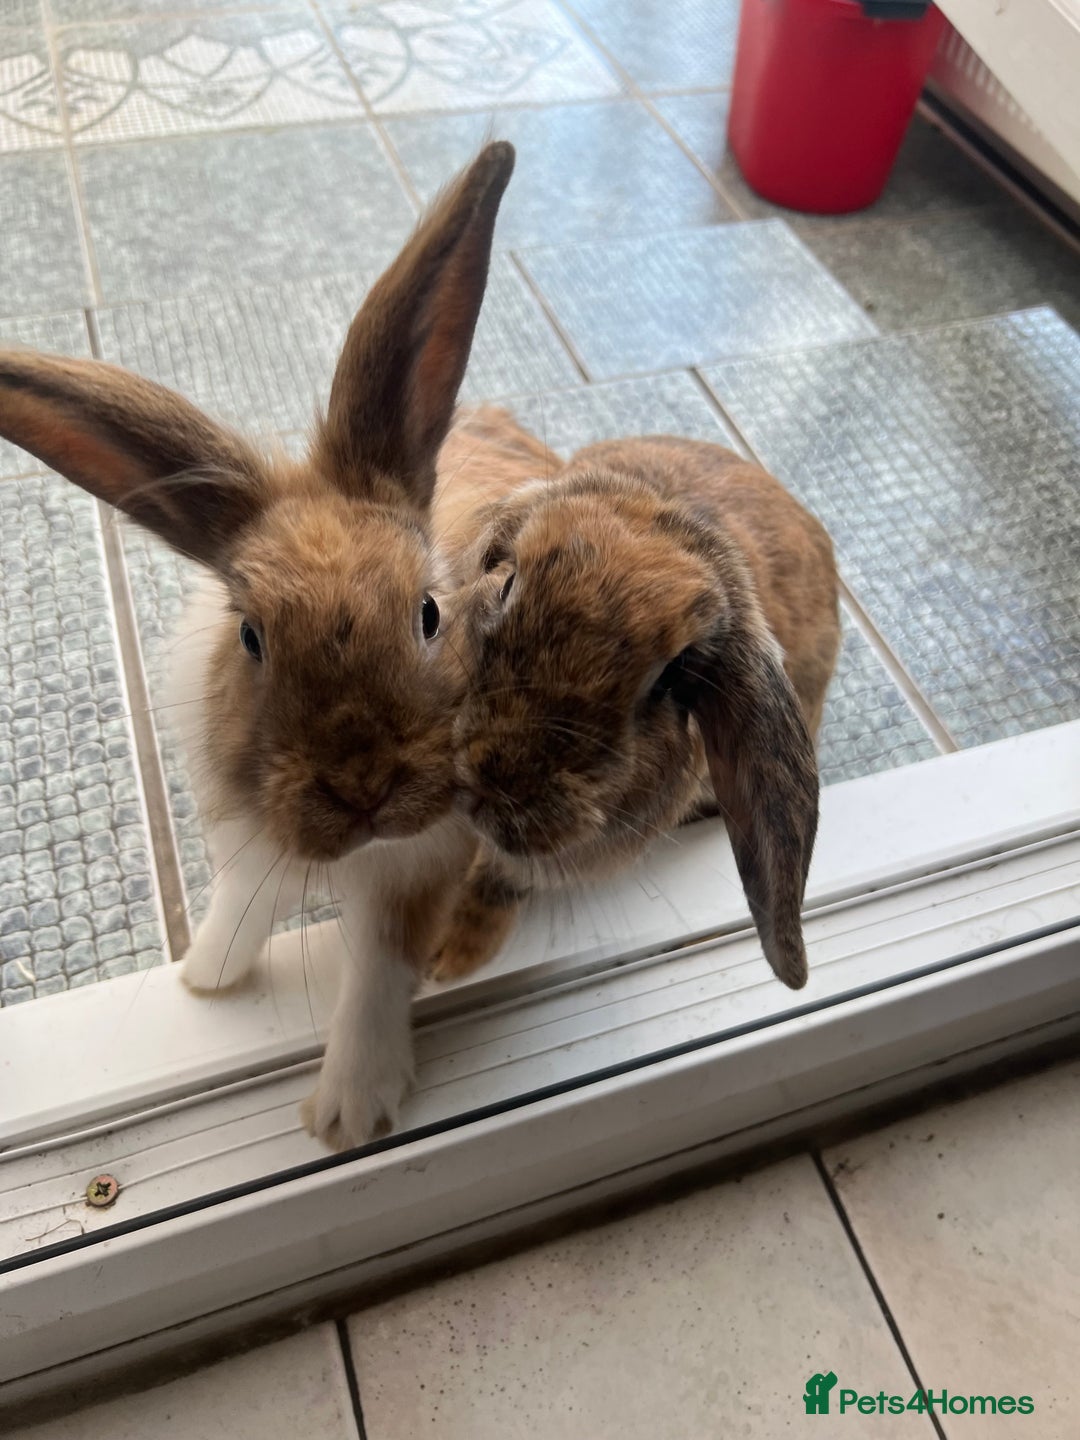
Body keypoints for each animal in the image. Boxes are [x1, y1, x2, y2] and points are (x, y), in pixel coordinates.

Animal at [0, 142, 516, 1151]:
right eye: (251, 638)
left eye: (428, 614)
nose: (362, 783)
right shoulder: (248, 837)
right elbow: (243, 903)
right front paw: (205, 979)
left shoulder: (419, 866)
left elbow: (378, 970)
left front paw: (346, 1115)